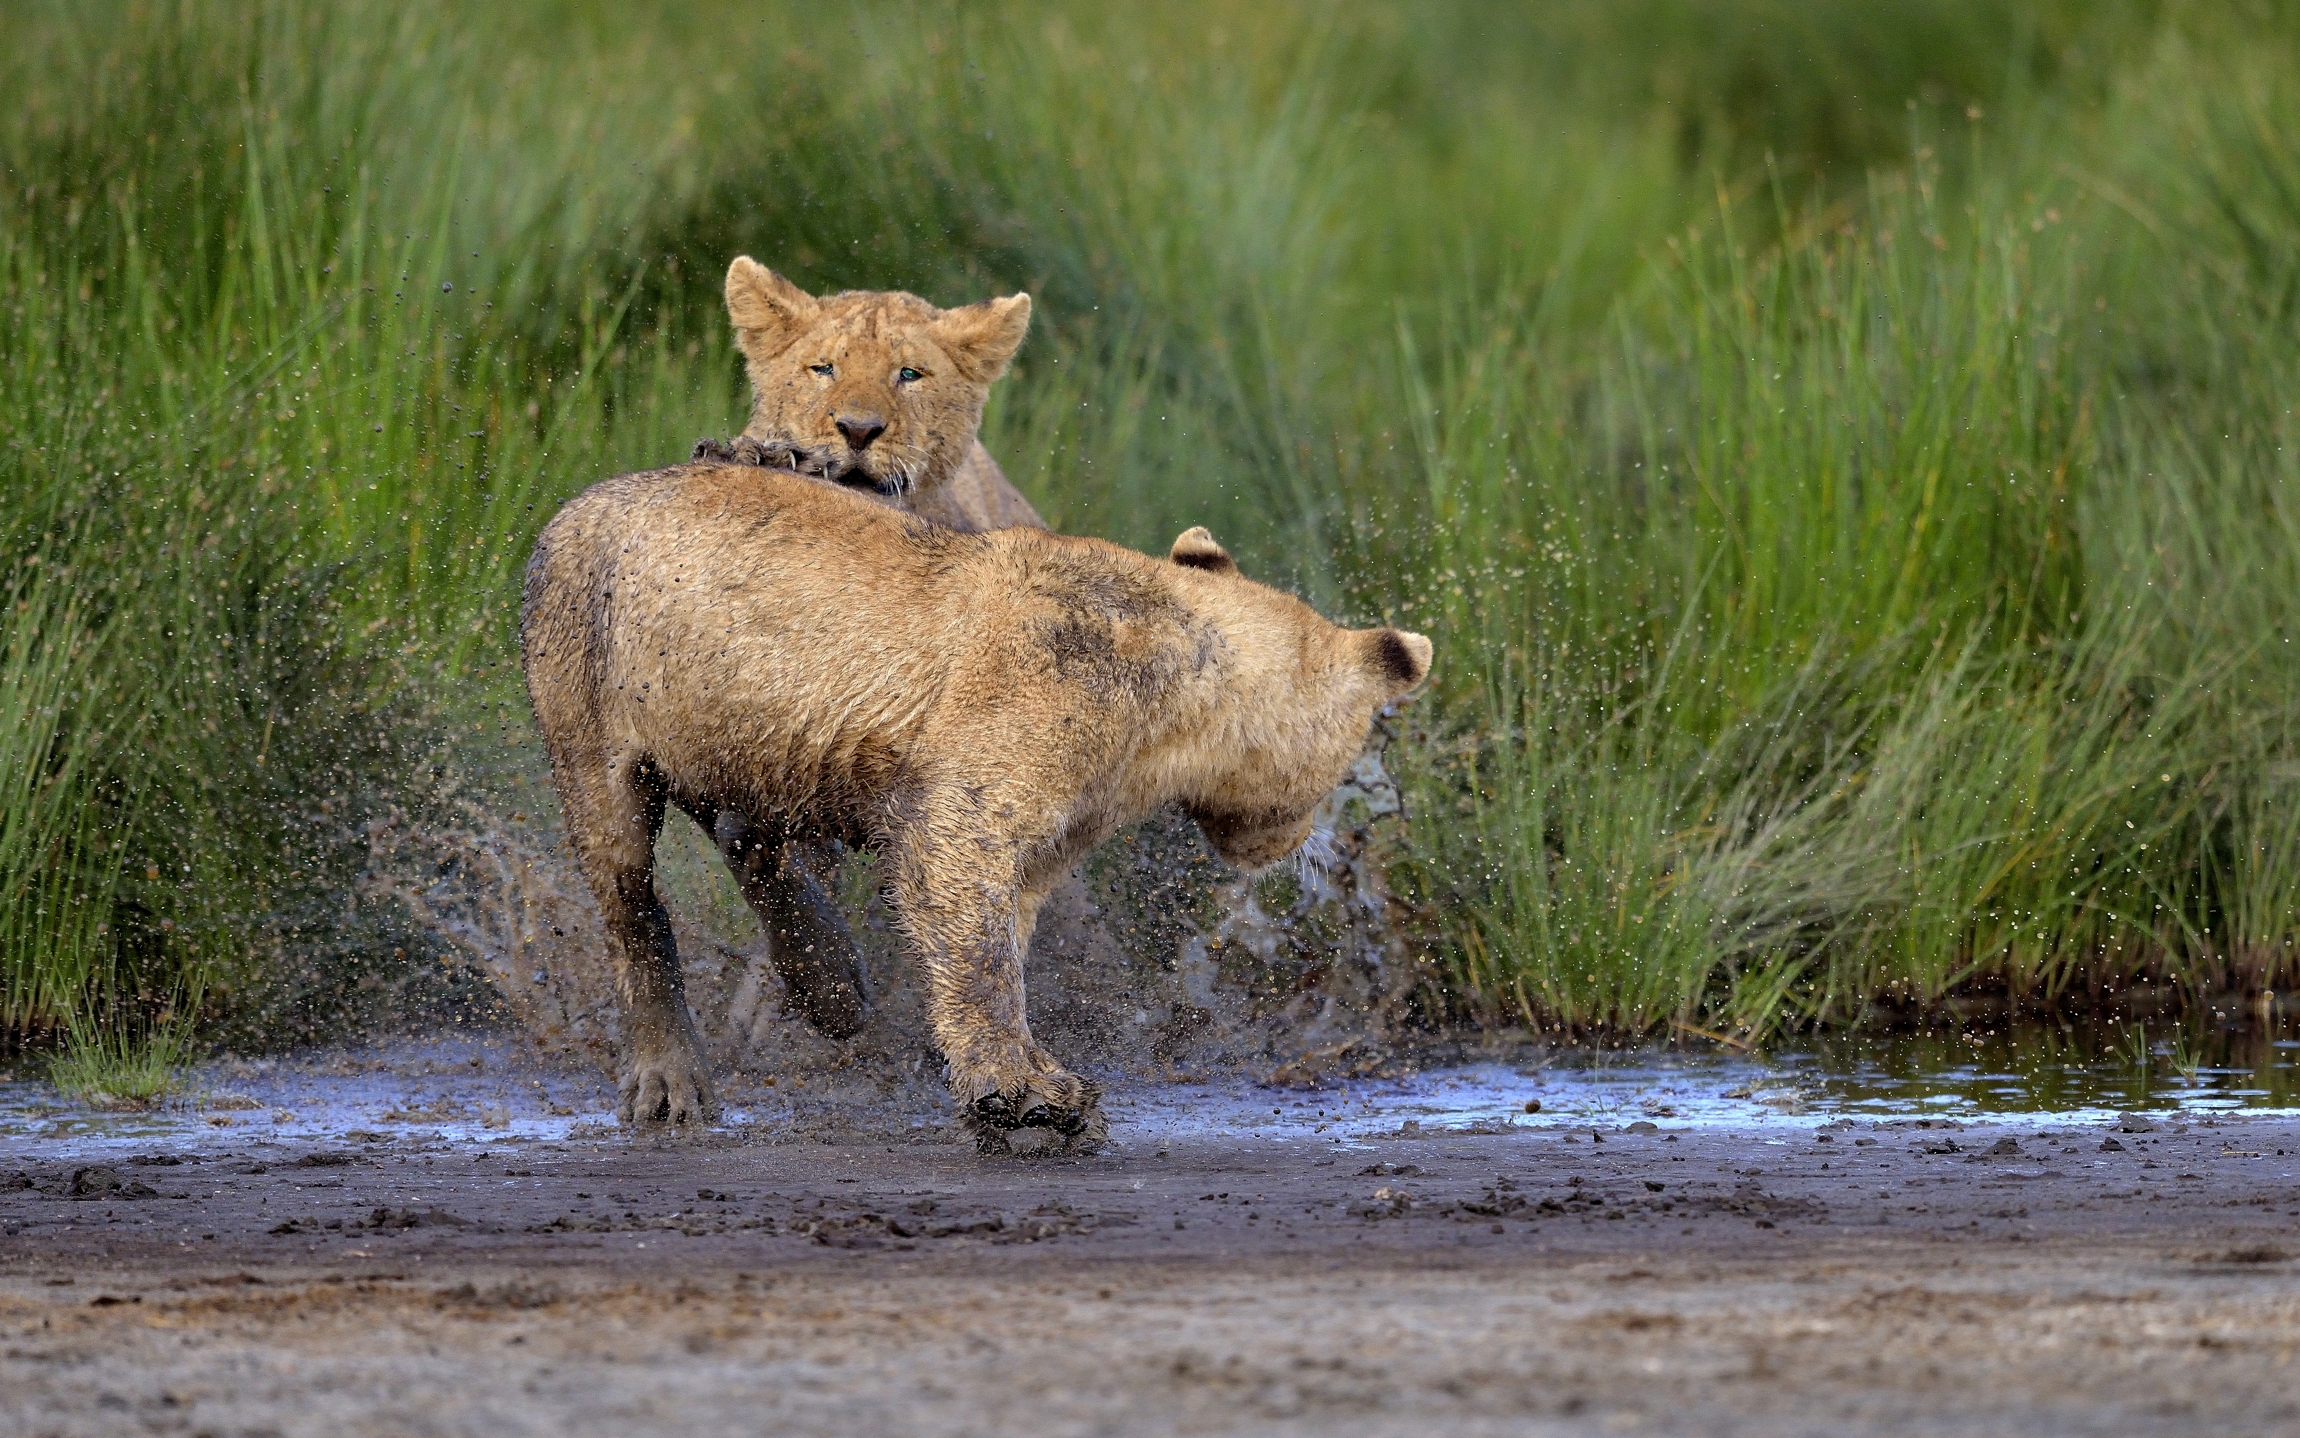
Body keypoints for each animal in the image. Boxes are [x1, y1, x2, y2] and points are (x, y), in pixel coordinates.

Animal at [520, 459, 1431, 1150]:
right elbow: (961, 866)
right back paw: (672, 1079)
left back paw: (827, 974)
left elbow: (1015, 903)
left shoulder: (1082, 799)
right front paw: (1035, 1096)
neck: (1176, 685)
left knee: (748, 828)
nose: (1286, 842)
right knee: (622, 873)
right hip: (588, 662)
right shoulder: (1035, 700)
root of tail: (570, 506)